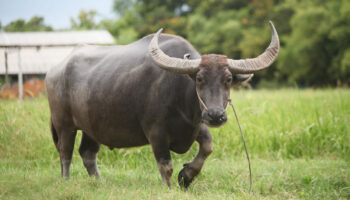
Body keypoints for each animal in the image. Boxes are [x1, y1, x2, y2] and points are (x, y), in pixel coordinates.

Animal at [45, 20, 278, 188]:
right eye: (199, 78)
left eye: (228, 79)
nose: (215, 115)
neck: (181, 96)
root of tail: (54, 71)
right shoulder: (156, 132)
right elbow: (165, 166)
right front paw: (171, 187)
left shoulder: (195, 124)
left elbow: (208, 146)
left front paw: (187, 176)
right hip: (64, 123)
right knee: (65, 152)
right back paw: (66, 181)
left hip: (91, 127)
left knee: (87, 154)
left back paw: (99, 182)